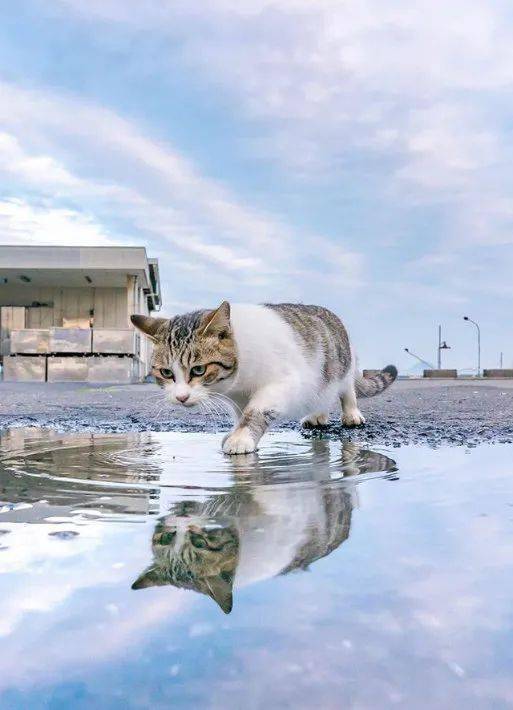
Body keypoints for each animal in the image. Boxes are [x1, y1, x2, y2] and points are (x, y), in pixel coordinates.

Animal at [131, 304, 396, 454]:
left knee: (346, 389)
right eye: (167, 373)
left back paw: (351, 413)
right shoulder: (238, 397)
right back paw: (317, 415)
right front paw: (237, 431)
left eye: (198, 370)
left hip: (341, 366)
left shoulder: (283, 383)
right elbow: (241, 413)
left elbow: (256, 411)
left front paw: (241, 437)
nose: (181, 397)